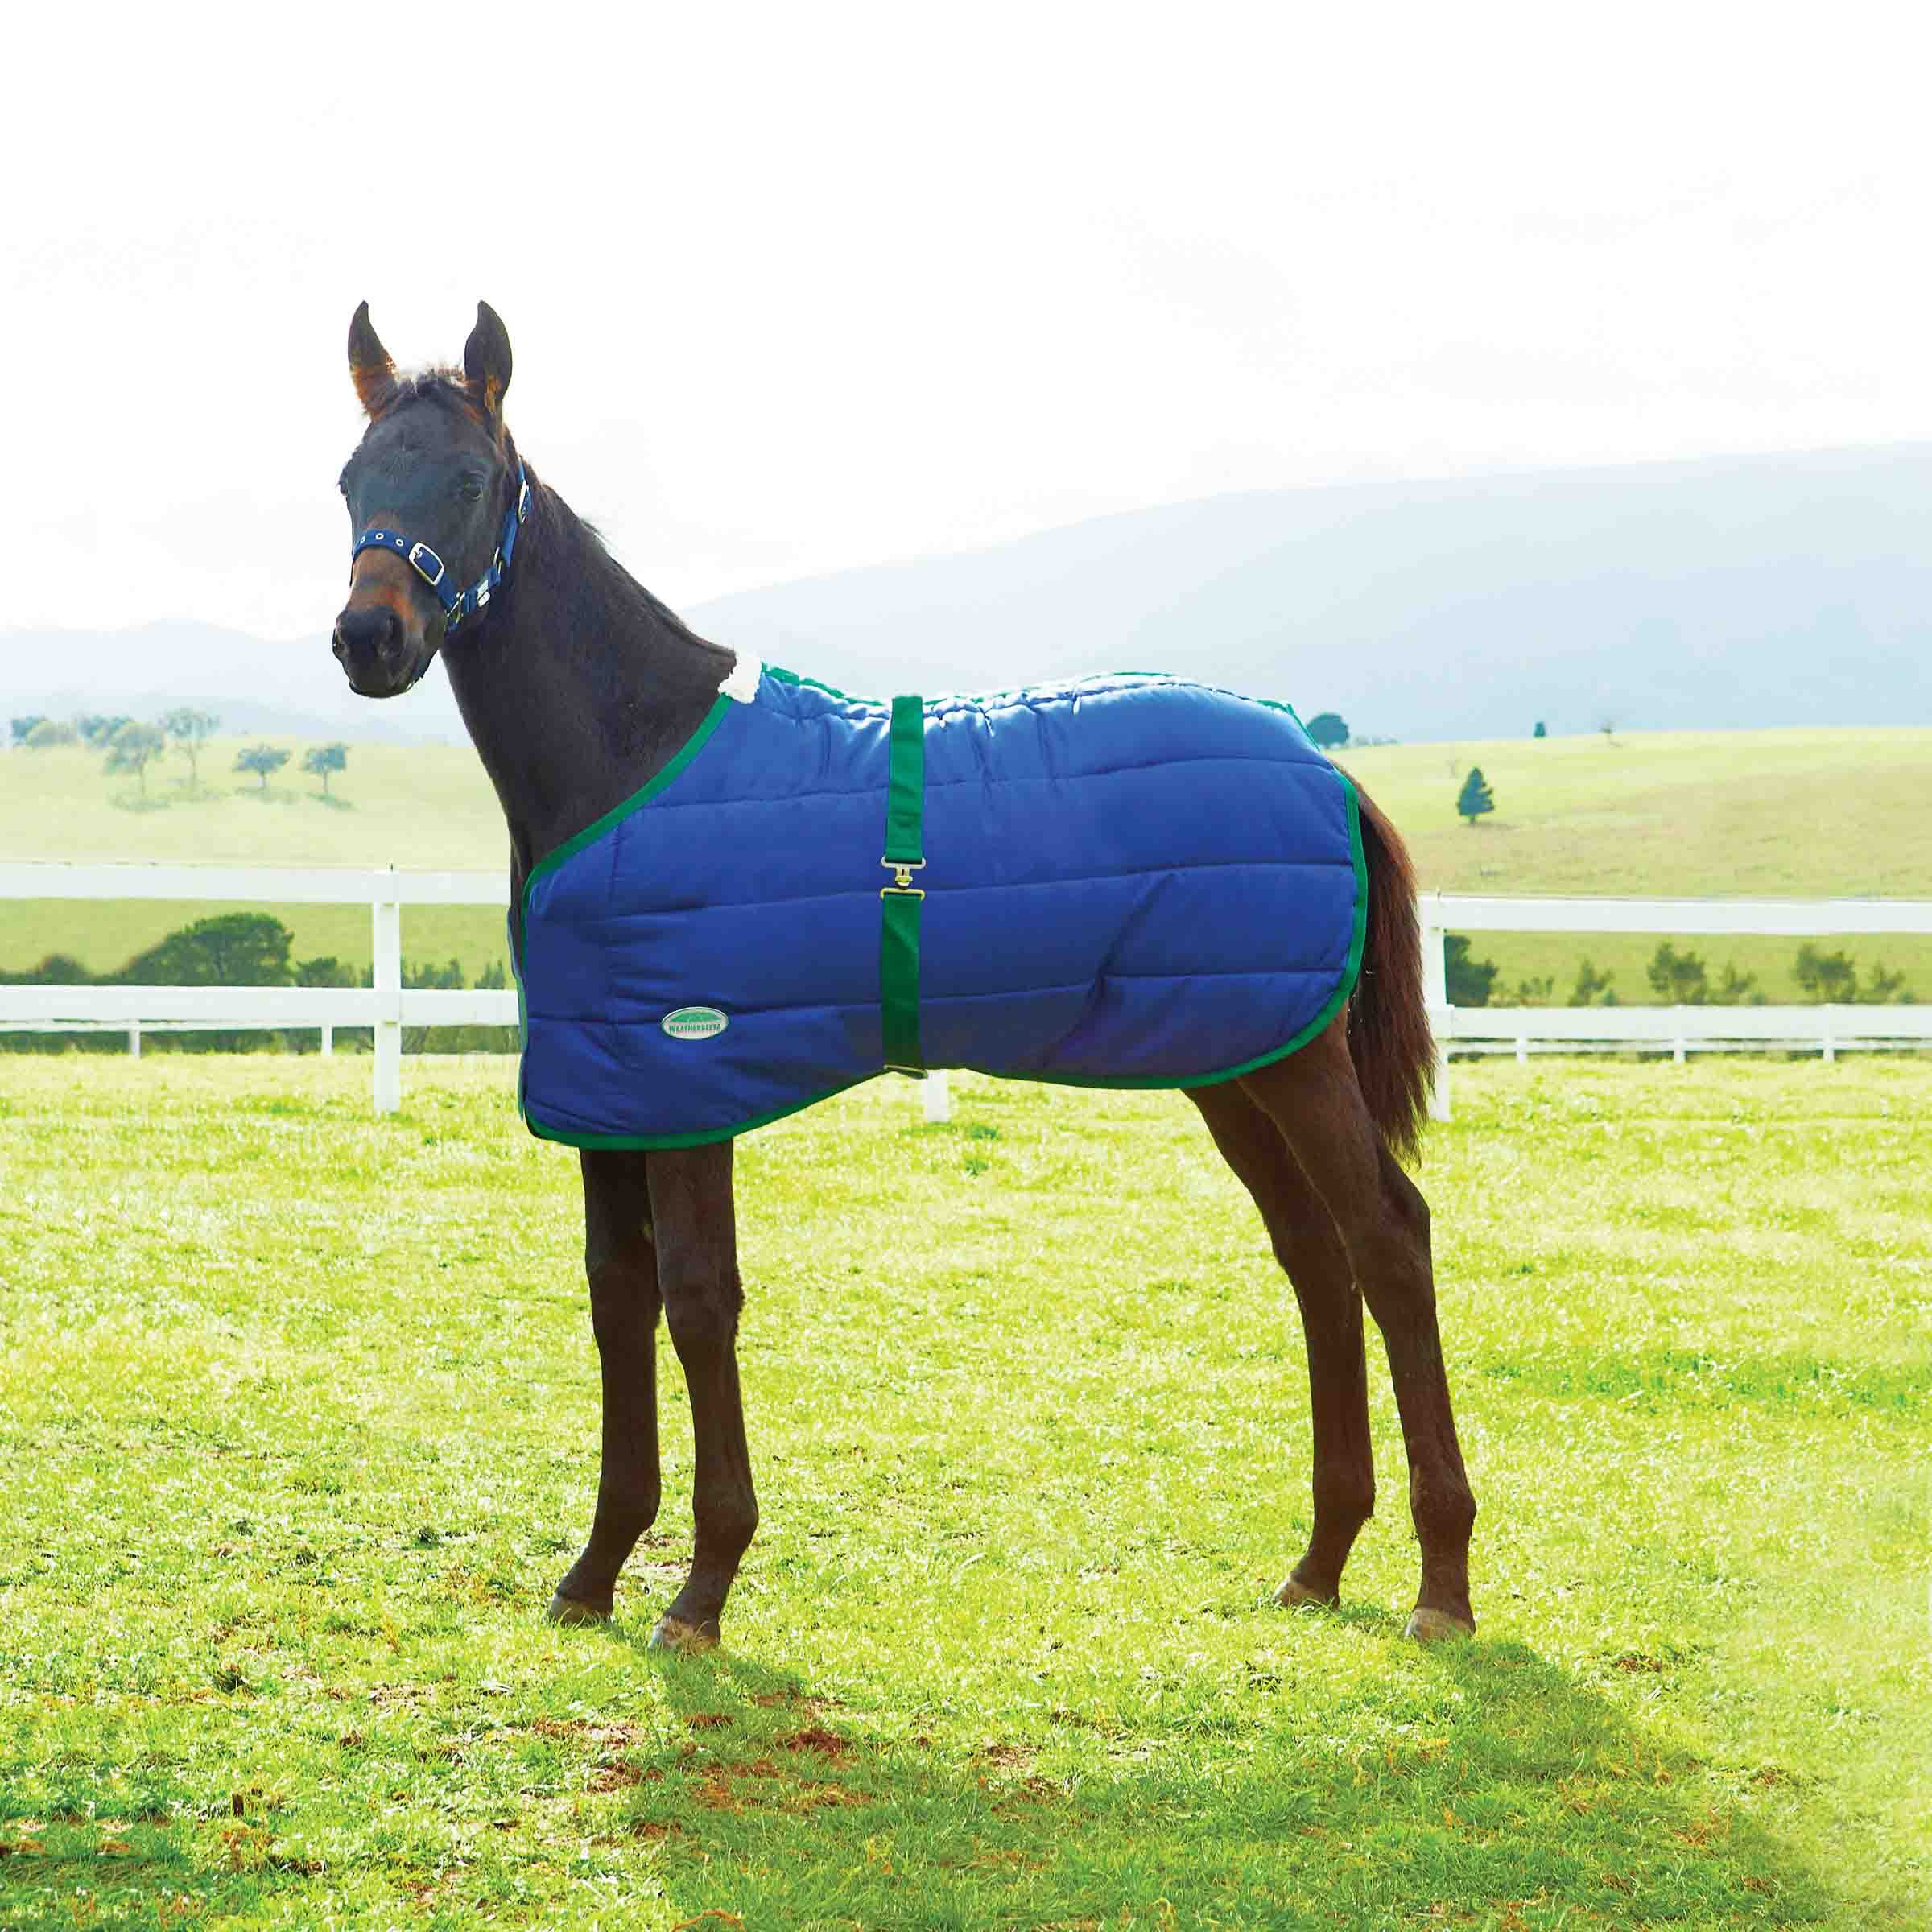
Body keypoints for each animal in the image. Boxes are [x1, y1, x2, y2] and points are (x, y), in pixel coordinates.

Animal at [330, 301, 1478, 1651]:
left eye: (468, 480)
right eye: (350, 479)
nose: (369, 640)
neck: (636, 757)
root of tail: (1323, 764)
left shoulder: (688, 1087)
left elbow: (698, 1301)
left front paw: (703, 1589)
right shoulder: (610, 1099)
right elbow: (619, 1303)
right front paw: (597, 1570)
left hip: (1295, 1067)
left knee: (1389, 1241)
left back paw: (1443, 1586)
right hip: (1234, 1062)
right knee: (1317, 1258)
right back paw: (1319, 1562)